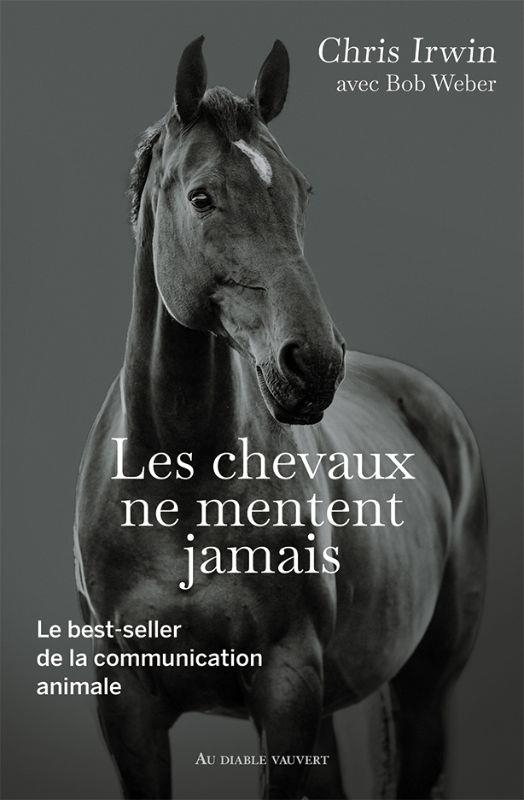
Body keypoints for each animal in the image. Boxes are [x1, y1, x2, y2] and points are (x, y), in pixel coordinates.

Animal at [74, 37, 487, 800]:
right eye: (203, 196)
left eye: (301, 190)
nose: (315, 363)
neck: (181, 490)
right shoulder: (128, 705)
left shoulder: (286, 685)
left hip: (422, 688)